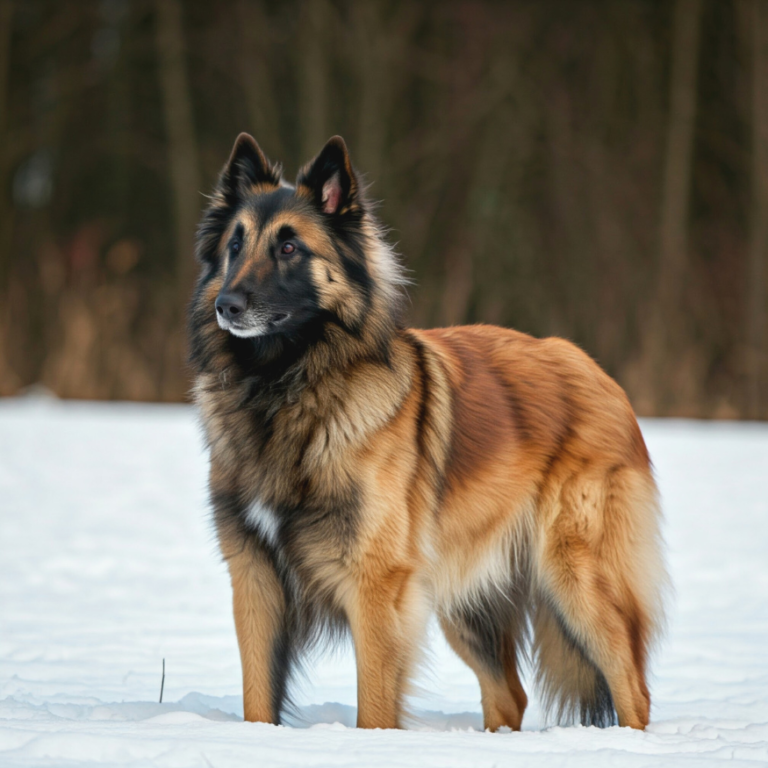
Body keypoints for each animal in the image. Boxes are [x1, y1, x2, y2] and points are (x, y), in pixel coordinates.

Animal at [188, 132, 664, 732]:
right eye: (235, 245)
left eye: (290, 248)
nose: (227, 305)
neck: (284, 386)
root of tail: (598, 374)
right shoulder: (254, 577)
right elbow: (258, 699)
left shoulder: (375, 584)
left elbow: (374, 707)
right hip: (468, 601)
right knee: (510, 696)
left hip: (578, 576)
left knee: (633, 688)